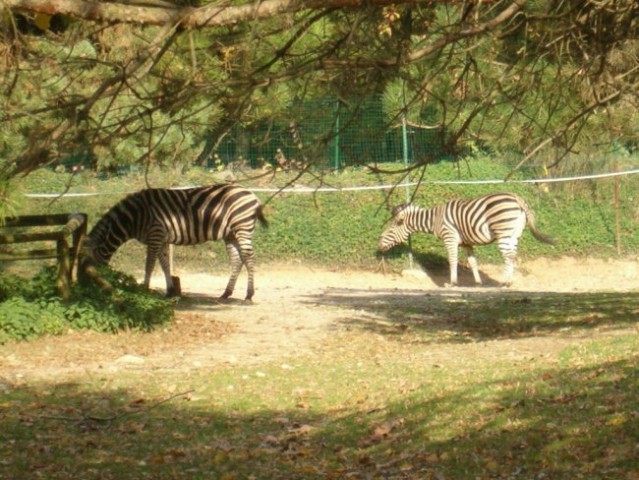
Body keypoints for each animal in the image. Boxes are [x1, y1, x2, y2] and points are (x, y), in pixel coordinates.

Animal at [83, 185, 268, 300]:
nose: (89, 289)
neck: (133, 217)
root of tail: (251, 193)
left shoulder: (155, 235)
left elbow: (150, 264)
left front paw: (145, 288)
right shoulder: (161, 239)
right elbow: (164, 264)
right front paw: (170, 290)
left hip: (242, 227)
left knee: (249, 258)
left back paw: (249, 294)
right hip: (231, 234)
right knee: (237, 259)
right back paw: (226, 293)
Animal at [378, 192, 552, 288]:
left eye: (391, 230)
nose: (378, 245)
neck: (435, 219)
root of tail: (517, 198)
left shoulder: (449, 238)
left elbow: (452, 260)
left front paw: (452, 283)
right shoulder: (467, 243)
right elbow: (473, 262)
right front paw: (478, 283)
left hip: (504, 233)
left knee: (509, 258)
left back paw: (505, 283)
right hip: (513, 235)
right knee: (513, 256)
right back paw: (509, 281)